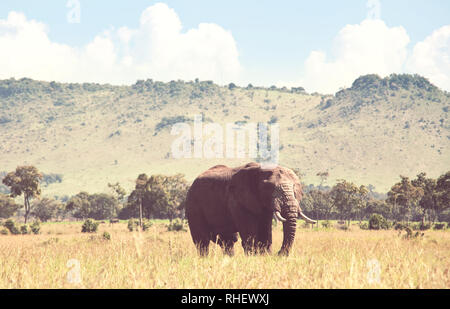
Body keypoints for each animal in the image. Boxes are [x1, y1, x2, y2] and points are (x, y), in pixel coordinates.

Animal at [184, 161, 316, 255]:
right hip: (193, 206)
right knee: (202, 241)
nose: (278, 253)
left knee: (227, 241)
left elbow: (265, 233)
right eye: (270, 188)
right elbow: (249, 235)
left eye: (295, 188)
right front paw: (253, 257)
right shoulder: (237, 200)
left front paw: (265, 256)